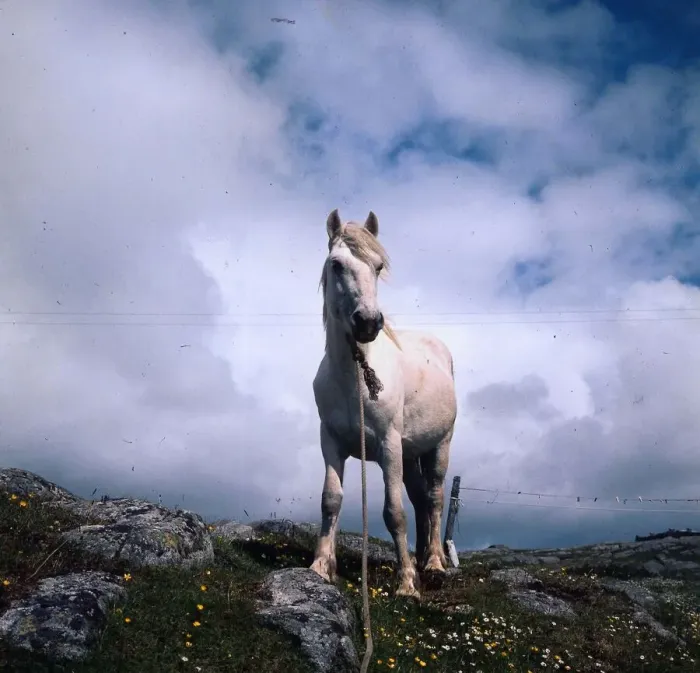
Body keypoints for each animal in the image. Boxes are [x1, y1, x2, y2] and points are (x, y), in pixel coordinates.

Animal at [309, 208, 458, 599]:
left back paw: (433, 563)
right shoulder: (330, 442)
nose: (368, 322)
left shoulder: (389, 446)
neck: (354, 379)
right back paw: (421, 559)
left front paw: (406, 584)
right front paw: (320, 567)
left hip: (439, 446)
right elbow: (331, 499)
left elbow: (394, 512)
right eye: (336, 264)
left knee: (434, 498)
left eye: (377, 267)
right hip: (409, 456)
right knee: (420, 499)